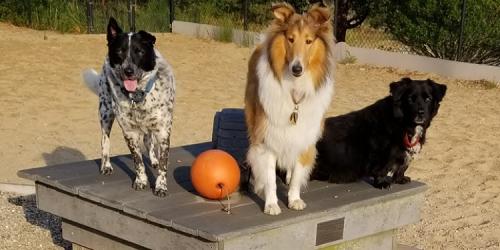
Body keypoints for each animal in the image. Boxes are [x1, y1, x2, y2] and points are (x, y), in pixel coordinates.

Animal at [82, 18, 176, 197]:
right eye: (119, 51)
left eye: (139, 51)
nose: (128, 71)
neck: (138, 95)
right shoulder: (130, 132)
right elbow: (137, 161)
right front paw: (141, 181)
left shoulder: (163, 131)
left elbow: (163, 163)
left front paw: (161, 186)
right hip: (105, 113)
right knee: (105, 140)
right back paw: (106, 165)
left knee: (148, 141)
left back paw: (153, 160)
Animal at [244, 2, 334, 215]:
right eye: (290, 39)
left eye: (309, 41)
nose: (297, 68)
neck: (295, 89)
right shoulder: (266, 136)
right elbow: (269, 177)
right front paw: (271, 204)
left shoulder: (304, 134)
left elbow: (297, 174)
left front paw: (294, 199)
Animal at [314, 77, 448, 188]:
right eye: (410, 99)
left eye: (428, 99)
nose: (421, 113)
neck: (403, 123)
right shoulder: (382, 153)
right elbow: (382, 169)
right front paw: (382, 183)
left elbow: (402, 167)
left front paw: (400, 179)